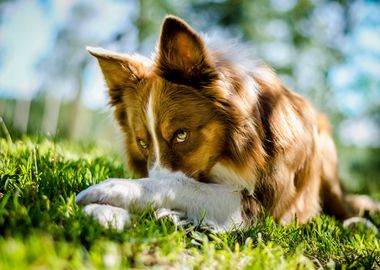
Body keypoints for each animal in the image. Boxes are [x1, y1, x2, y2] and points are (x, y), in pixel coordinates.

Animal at [75, 15, 378, 231]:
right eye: (142, 142)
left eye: (181, 135)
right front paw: (106, 211)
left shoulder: (258, 205)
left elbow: (179, 184)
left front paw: (112, 189)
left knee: (342, 206)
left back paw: (358, 223)